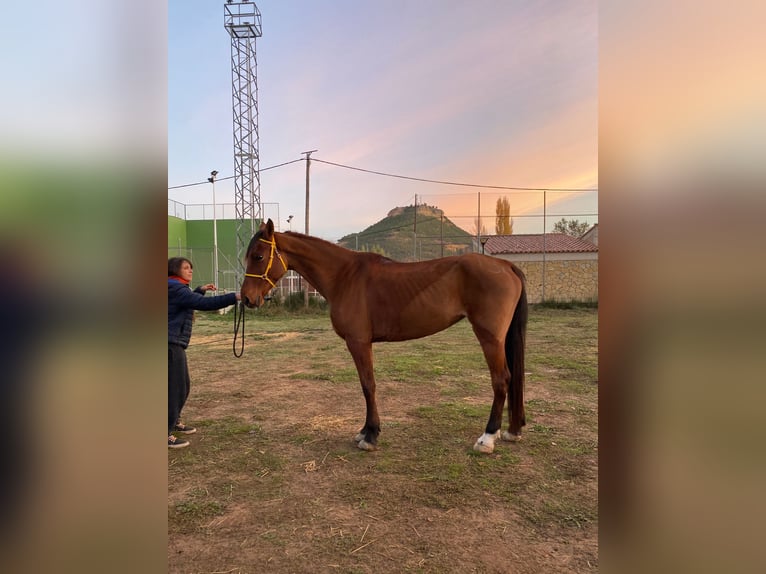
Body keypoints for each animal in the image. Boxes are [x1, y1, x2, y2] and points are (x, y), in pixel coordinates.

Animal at [242, 219, 528, 454]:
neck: (344, 276)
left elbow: (368, 386)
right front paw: (365, 431)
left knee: (501, 380)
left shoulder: (359, 343)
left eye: (258, 256)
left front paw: (370, 435)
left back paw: (487, 437)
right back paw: (511, 431)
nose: (246, 298)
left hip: (489, 338)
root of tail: (505, 264)